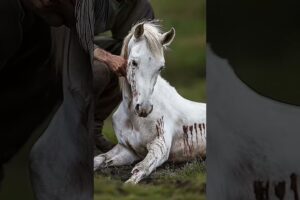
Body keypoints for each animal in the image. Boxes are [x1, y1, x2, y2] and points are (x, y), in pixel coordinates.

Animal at [94, 21, 206, 184]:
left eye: (161, 67)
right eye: (134, 62)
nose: (144, 108)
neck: (132, 117)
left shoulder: (159, 147)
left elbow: (140, 171)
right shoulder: (127, 150)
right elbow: (99, 159)